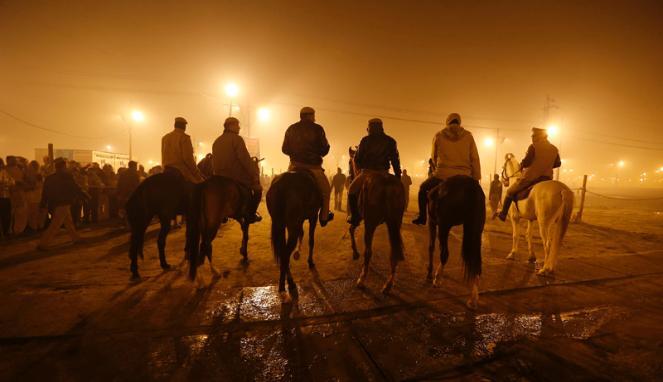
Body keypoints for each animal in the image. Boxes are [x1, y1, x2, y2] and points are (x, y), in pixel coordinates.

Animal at [268, 170, 322, 302]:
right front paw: (310, 261)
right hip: (293, 222)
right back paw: (285, 285)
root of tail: (281, 184)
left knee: (283, 251)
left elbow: (302, 233)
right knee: (286, 253)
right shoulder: (313, 216)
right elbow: (311, 240)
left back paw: (288, 282)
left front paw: (298, 253)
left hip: (280, 224)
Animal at [428, 176, 486, 310]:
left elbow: (431, 246)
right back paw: (473, 299)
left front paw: (430, 273)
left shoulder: (432, 222)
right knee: (476, 261)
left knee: (444, 253)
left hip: (444, 225)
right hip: (475, 229)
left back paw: (437, 279)